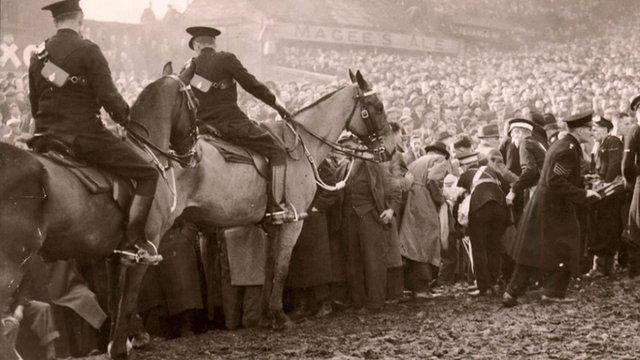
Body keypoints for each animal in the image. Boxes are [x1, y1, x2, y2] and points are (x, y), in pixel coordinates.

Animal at [0, 62, 199, 360]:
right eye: (195, 103)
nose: (194, 155)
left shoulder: (110, 255)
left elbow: (113, 300)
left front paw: (122, 341)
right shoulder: (139, 256)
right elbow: (127, 301)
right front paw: (120, 347)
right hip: (9, 269)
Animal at [171, 68, 390, 330]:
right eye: (378, 106)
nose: (389, 150)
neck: (301, 145)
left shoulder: (271, 225)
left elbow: (268, 268)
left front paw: (266, 316)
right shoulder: (294, 221)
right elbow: (282, 268)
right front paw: (280, 316)